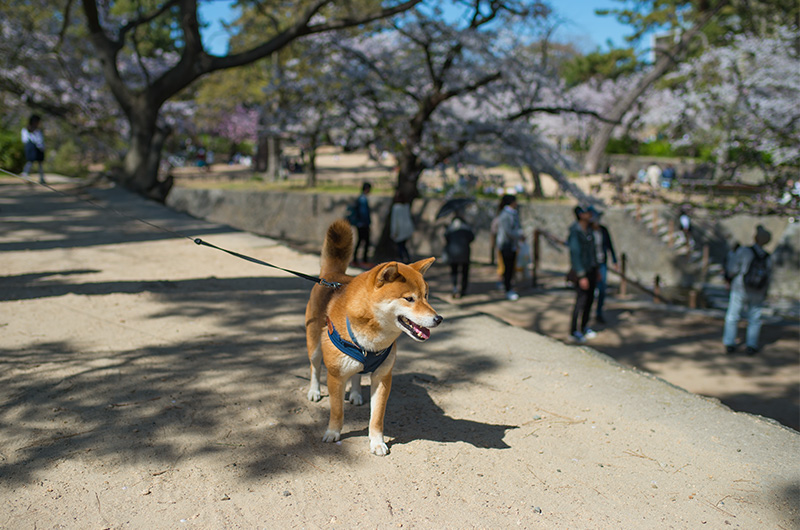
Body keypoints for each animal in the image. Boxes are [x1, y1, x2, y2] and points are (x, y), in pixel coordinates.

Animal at [306, 219, 444, 454]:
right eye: (409, 298)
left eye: (426, 296)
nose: (439, 318)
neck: (372, 339)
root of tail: (332, 276)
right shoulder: (335, 377)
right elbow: (337, 411)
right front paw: (333, 433)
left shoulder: (383, 377)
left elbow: (377, 416)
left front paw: (377, 442)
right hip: (314, 345)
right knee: (315, 367)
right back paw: (315, 391)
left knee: (356, 374)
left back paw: (355, 394)